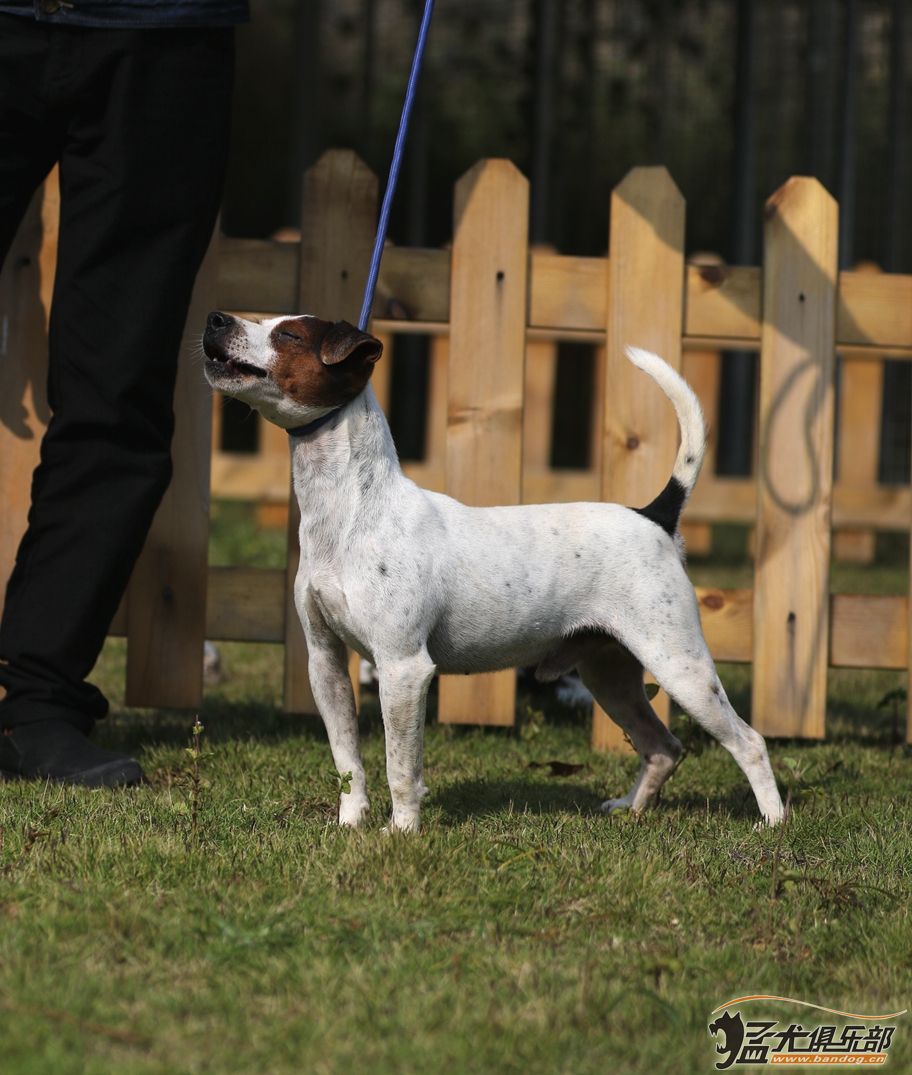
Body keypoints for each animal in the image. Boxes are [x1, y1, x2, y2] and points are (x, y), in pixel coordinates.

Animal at [201, 311, 782, 829]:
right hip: (609, 672)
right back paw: (630, 811)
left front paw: (401, 833)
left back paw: (773, 823)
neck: (353, 512)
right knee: (663, 746)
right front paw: (351, 825)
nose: (215, 319)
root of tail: (654, 516)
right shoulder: (326, 663)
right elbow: (348, 762)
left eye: (290, 335)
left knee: (748, 741)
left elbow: (401, 768)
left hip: (679, 664)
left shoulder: (403, 669)